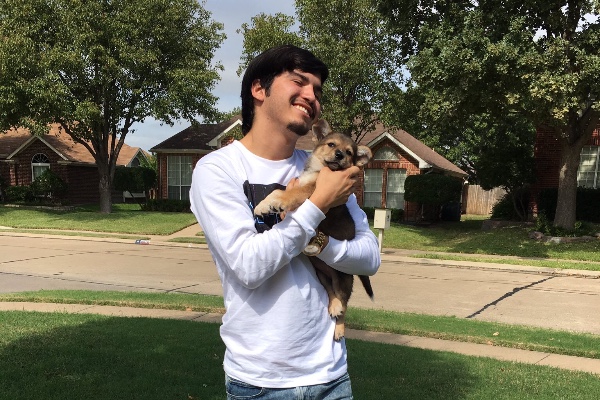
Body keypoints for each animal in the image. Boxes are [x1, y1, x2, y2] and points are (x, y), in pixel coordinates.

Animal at [253, 119, 375, 341]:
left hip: (344, 278)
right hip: (323, 275)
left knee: (344, 304)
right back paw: (333, 306)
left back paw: (339, 328)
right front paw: (264, 205)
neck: (318, 171)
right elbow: (278, 191)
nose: (340, 155)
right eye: (331, 145)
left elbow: (287, 194)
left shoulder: (309, 191)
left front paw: (275, 203)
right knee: (332, 293)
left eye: (349, 152)